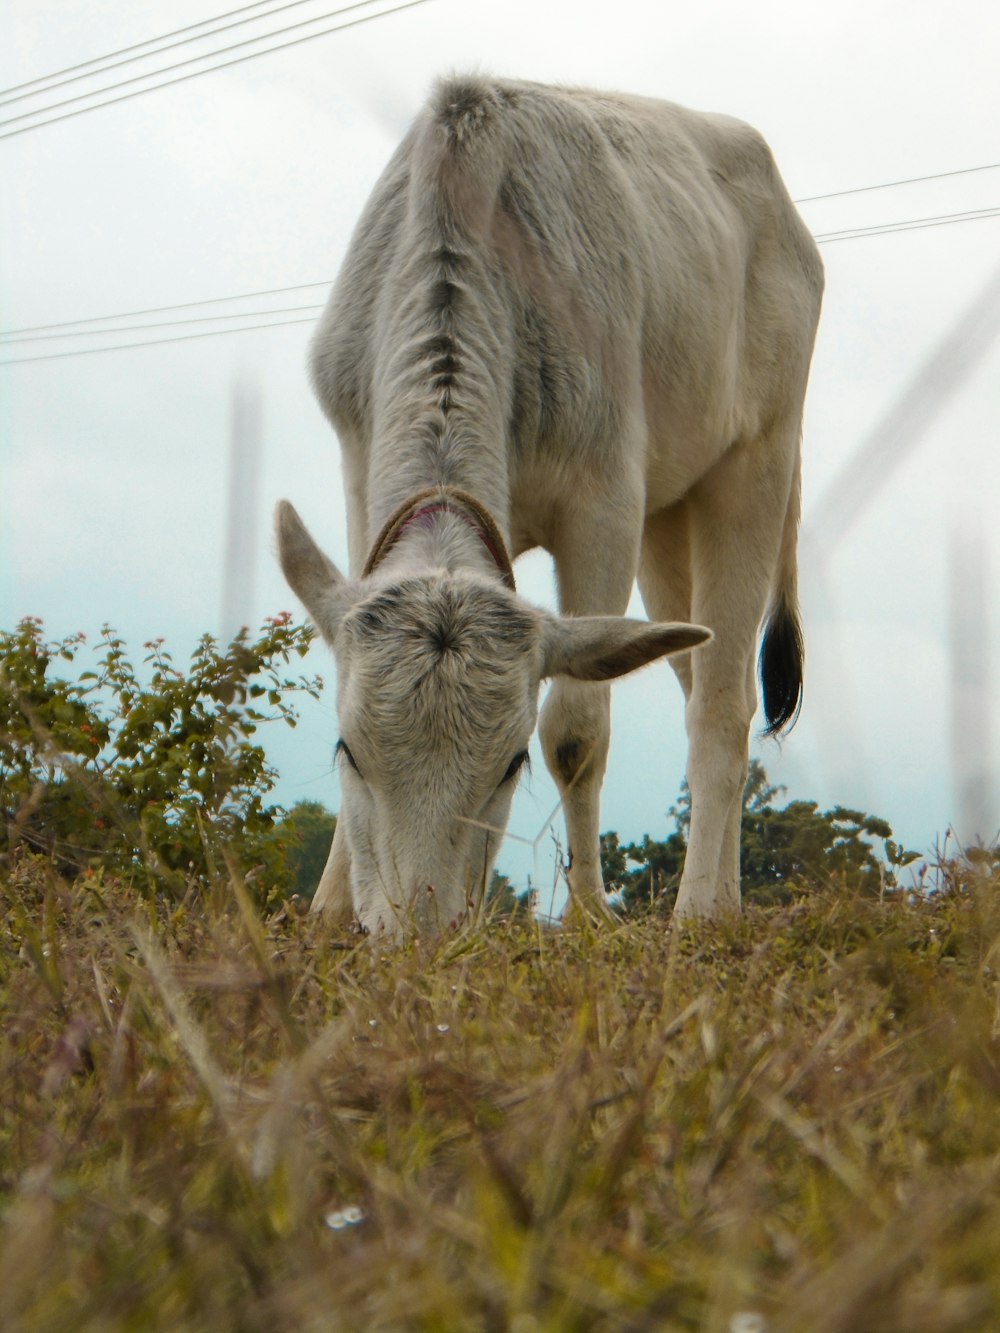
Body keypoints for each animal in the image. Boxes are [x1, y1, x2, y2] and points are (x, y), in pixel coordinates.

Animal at [278, 75, 826, 938]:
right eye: (348, 750)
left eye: (510, 765)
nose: (417, 930)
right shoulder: (359, 466)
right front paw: (331, 908)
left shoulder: (604, 501)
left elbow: (575, 727)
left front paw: (590, 918)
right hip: (666, 525)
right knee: (700, 676)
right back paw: (729, 895)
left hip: (758, 457)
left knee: (723, 703)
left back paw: (701, 910)